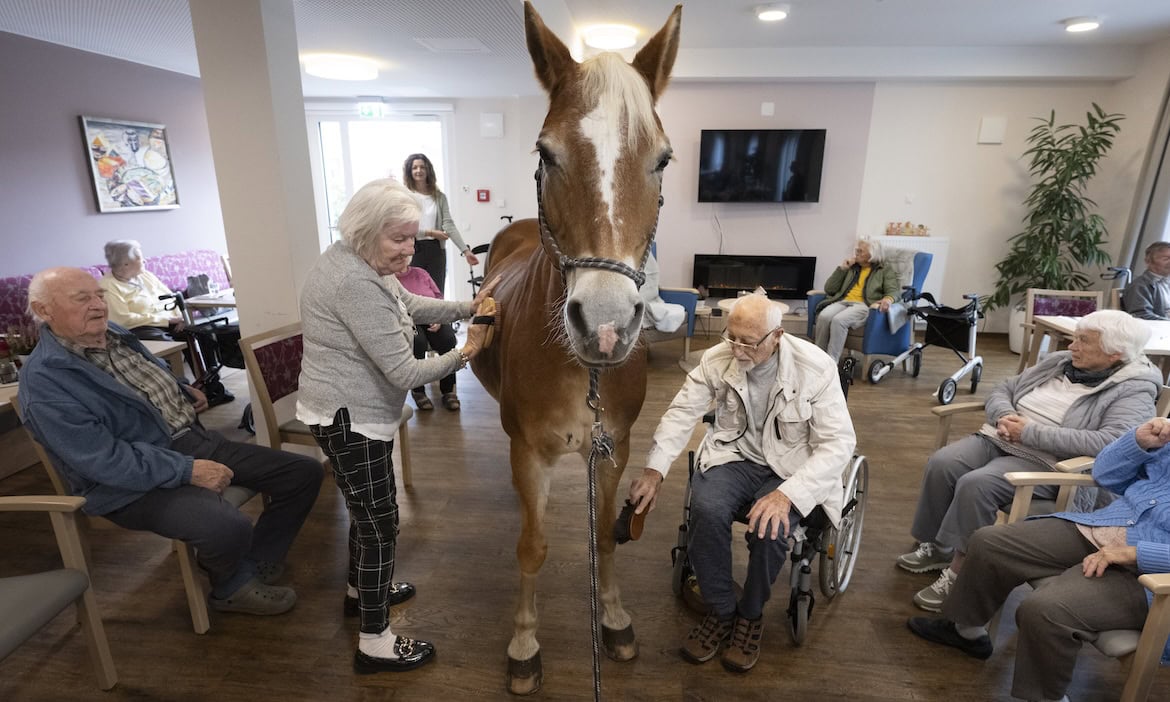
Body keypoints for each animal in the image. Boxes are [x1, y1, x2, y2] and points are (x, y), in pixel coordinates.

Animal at [470, 2, 681, 695]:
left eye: (663, 160)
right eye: (547, 153)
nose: (607, 325)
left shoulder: (612, 449)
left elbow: (607, 540)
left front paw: (612, 619)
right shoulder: (530, 454)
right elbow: (532, 547)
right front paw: (524, 643)